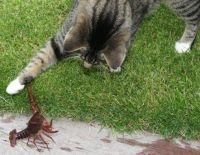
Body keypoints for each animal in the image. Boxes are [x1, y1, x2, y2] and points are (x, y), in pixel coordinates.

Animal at [5, 0, 198, 94]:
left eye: (96, 62)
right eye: (83, 56)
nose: (86, 66)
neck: (107, 12)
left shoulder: (130, 29)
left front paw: (115, 67)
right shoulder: (63, 38)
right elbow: (41, 58)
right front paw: (17, 83)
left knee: (195, 17)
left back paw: (184, 44)